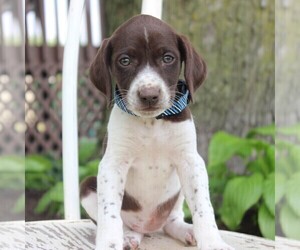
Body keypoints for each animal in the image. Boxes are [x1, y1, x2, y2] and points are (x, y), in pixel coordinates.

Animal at [80, 15, 234, 250]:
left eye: (167, 58)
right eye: (125, 60)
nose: (149, 95)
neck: (151, 122)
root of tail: (149, 227)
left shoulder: (191, 162)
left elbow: (203, 207)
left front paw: (212, 242)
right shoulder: (112, 165)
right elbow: (109, 214)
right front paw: (109, 244)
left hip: (177, 193)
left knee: (172, 221)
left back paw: (186, 231)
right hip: (88, 186)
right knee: (125, 223)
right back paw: (128, 237)